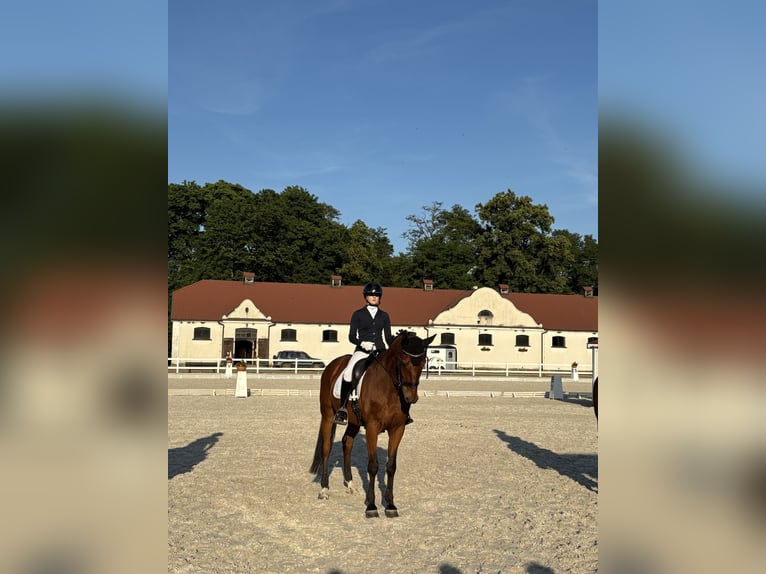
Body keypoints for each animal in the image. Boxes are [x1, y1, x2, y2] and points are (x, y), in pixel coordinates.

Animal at [309, 330, 436, 518]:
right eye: (404, 360)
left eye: (423, 361)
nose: (411, 397)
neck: (389, 388)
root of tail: (333, 365)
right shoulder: (372, 427)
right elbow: (373, 466)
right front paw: (371, 506)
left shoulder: (398, 429)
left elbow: (391, 466)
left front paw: (390, 505)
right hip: (327, 415)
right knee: (326, 449)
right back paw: (324, 490)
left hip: (354, 421)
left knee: (347, 443)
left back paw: (350, 485)